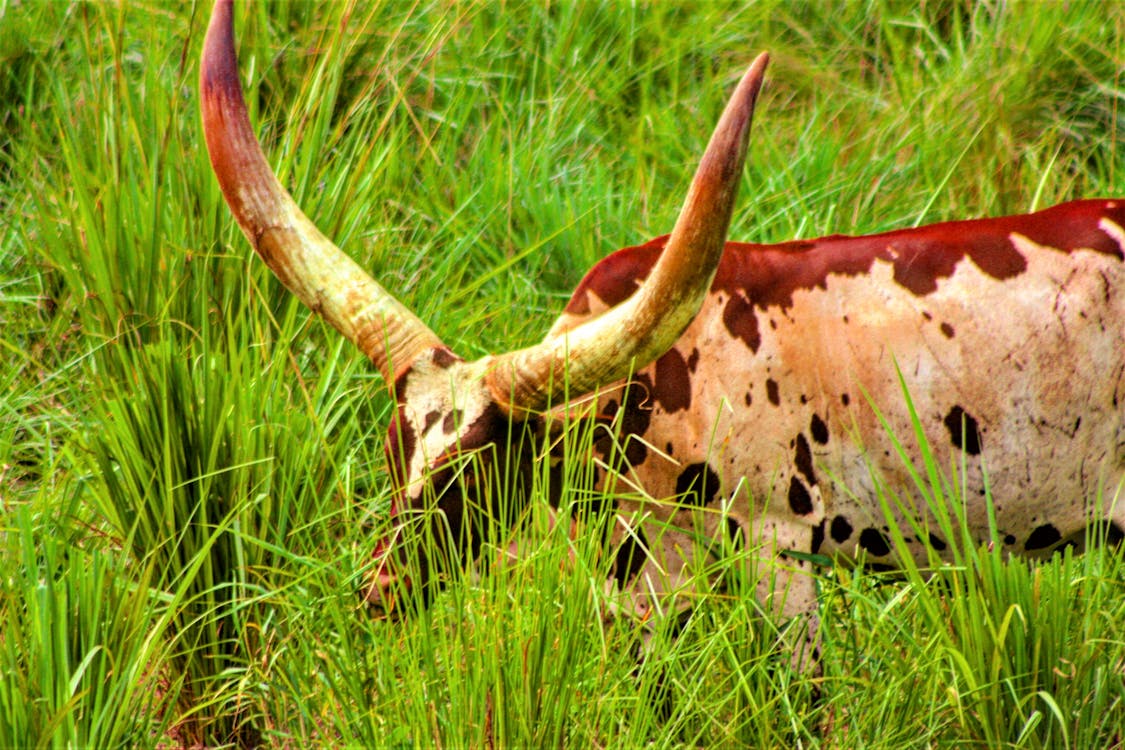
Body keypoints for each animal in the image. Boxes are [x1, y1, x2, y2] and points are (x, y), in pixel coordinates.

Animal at [202, 0, 1125, 670]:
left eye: (476, 469)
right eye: (396, 452)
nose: (381, 592)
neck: (655, 387)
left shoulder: (780, 556)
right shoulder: (642, 577)